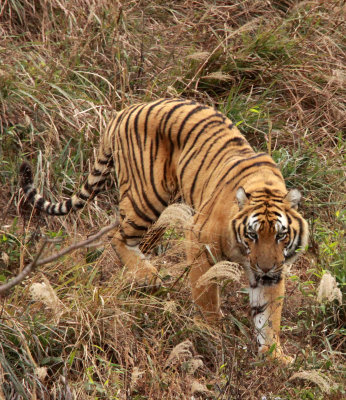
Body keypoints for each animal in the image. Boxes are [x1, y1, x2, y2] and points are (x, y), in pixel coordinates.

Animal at [20, 97, 310, 362]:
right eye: (252, 234)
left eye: (280, 235)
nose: (265, 267)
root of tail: (124, 111)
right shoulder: (200, 241)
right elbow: (206, 294)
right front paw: (211, 331)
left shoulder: (273, 272)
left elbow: (269, 316)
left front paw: (275, 357)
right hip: (148, 196)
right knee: (116, 235)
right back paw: (149, 276)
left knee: (135, 243)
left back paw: (142, 278)